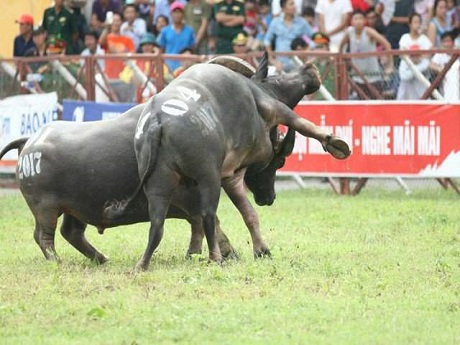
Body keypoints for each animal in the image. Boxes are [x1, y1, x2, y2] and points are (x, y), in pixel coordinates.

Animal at [0, 55, 306, 264]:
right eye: (278, 160)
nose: (268, 197)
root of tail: (29, 142)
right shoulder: (194, 197)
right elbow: (210, 222)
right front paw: (226, 253)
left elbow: (202, 225)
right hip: (45, 208)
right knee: (44, 236)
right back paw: (58, 261)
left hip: (76, 209)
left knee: (71, 232)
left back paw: (102, 258)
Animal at [106, 55, 350, 268]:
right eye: (280, 161)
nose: (268, 198)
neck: (256, 88)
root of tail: (157, 122)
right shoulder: (273, 108)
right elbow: (302, 123)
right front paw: (335, 143)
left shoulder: (231, 176)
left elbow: (249, 213)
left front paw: (262, 250)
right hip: (208, 178)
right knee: (207, 215)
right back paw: (215, 257)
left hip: (159, 184)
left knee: (157, 224)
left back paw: (142, 264)